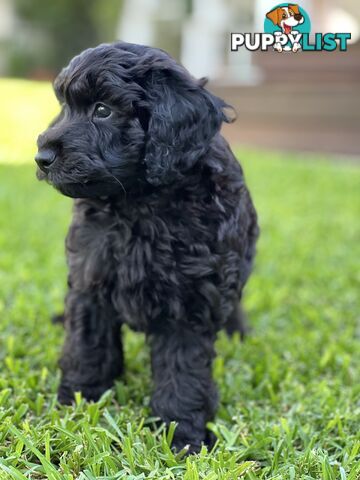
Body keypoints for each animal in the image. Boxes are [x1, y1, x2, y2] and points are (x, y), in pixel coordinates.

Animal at [35, 42, 258, 454]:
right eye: (64, 106)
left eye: (103, 110)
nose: (41, 158)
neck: (138, 202)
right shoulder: (90, 276)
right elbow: (87, 345)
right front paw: (76, 403)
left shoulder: (192, 297)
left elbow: (183, 370)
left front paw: (182, 432)